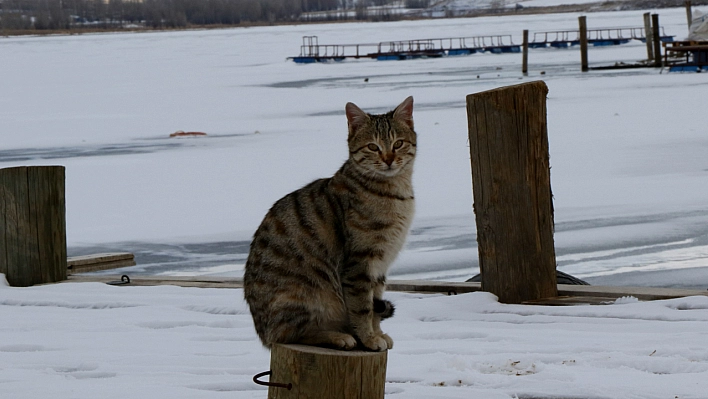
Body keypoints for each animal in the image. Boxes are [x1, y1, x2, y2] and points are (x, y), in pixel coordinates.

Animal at [246, 97, 418, 354]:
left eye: (398, 143)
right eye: (372, 147)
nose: (388, 159)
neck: (394, 192)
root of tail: (262, 334)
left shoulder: (380, 265)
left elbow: (374, 306)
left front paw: (377, 334)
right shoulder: (359, 263)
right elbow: (362, 308)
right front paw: (369, 338)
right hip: (306, 296)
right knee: (289, 334)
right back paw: (338, 337)